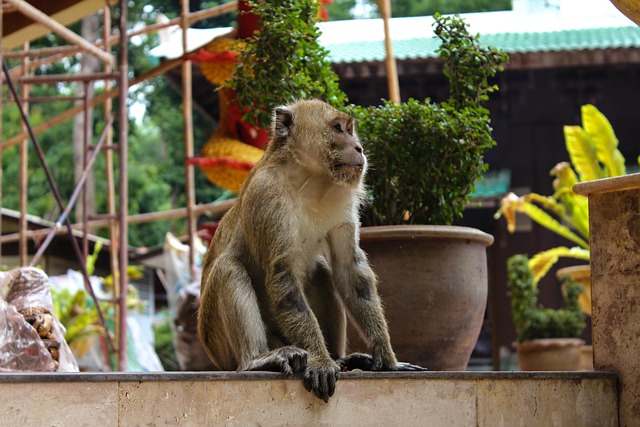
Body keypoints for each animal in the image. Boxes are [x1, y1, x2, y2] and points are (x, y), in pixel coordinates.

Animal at [197, 99, 425, 403]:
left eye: (350, 129)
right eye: (338, 128)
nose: (359, 148)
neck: (310, 180)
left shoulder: (342, 196)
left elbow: (349, 270)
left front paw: (387, 360)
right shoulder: (268, 198)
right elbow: (282, 277)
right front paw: (319, 361)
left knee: (321, 270)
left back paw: (341, 359)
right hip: (221, 345)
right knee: (229, 269)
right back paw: (257, 360)